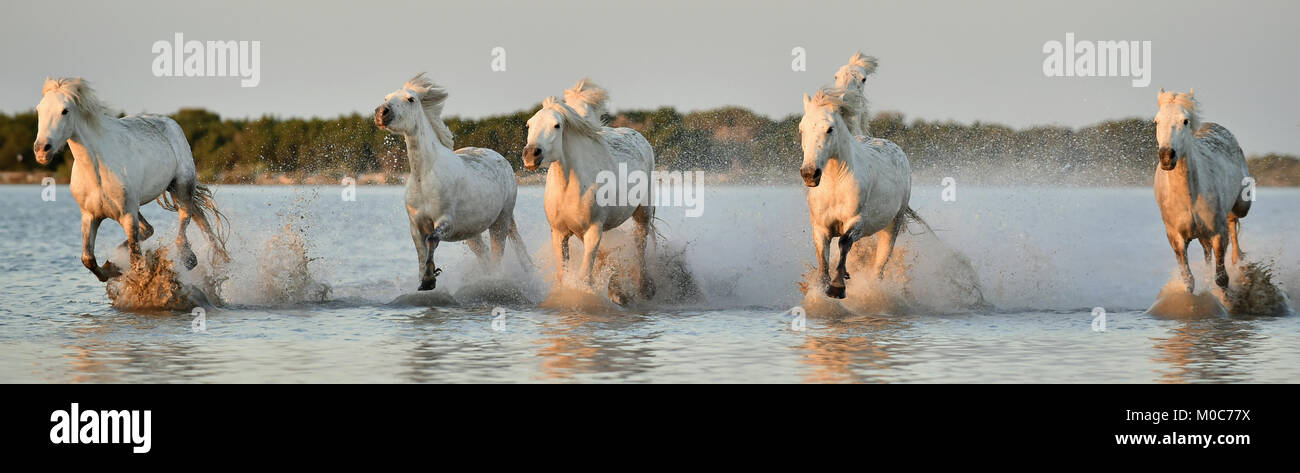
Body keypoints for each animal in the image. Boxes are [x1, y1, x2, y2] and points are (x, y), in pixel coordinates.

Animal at [33, 77, 228, 282]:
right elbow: (88, 259)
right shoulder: (90, 216)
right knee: (157, 227)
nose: (41, 150)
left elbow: (136, 261)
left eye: (65, 111)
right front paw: (111, 268)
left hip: (181, 187)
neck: (97, 171)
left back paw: (189, 258)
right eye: (39, 110)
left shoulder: (127, 215)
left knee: (186, 219)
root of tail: (172, 123)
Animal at [374, 74, 532, 291]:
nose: (381, 113)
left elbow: (432, 239)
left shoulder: (446, 221)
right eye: (386, 97)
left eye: (411, 99)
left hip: (501, 220)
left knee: (497, 254)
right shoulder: (415, 226)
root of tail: (502, 159)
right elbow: (421, 252)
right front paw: (425, 280)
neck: (424, 176)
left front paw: (430, 278)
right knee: (485, 255)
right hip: (472, 232)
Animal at [523, 80, 656, 300]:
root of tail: (640, 137)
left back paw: (643, 289)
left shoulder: (593, 230)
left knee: (640, 245)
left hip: (643, 212)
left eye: (557, 125)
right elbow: (564, 274)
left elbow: (585, 278)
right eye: (529, 124)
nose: (531, 155)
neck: (569, 188)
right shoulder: (559, 233)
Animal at [799, 88, 916, 299]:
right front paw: (821, 288)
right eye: (801, 129)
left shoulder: (857, 222)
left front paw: (837, 288)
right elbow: (823, 258)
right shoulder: (820, 227)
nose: (810, 174)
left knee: (879, 266)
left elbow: (844, 242)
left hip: (893, 224)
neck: (835, 185)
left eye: (829, 129)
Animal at [1153, 89, 1251, 292]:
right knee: (1207, 252)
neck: (1189, 197)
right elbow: (1188, 280)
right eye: (1156, 121)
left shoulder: (1218, 233)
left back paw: (1238, 258)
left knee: (1233, 221)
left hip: (1241, 205)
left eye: (1185, 121)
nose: (1166, 156)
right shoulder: (1176, 238)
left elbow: (1222, 278)